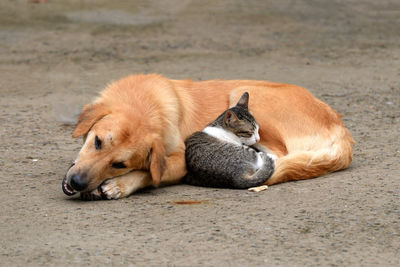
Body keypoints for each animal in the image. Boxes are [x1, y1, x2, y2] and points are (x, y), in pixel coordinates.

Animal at [61, 74, 354, 201]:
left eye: (120, 164)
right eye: (97, 142)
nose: (76, 183)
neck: (143, 102)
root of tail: (339, 125)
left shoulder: (179, 160)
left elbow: (149, 173)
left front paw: (119, 185)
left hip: (245, 94)